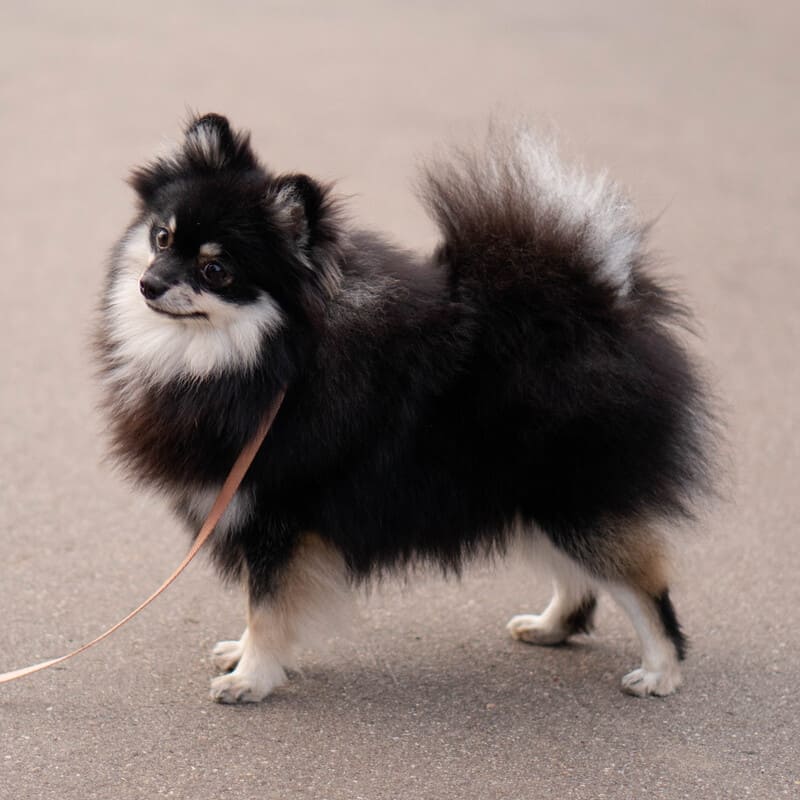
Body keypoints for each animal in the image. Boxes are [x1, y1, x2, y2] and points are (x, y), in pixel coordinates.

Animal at [97, 112, 716, 700]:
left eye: (216, 270)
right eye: (161, 238)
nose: (150, 284)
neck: (266, 357)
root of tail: (604, 305)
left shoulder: (280, 517)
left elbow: (268, 607)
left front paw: (252, 679)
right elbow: (264, 607)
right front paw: (246, 657)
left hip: (572, 501)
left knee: (644, 587)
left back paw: (660, 672)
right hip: (531, 502)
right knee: (582, 578)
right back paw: (551, 627)